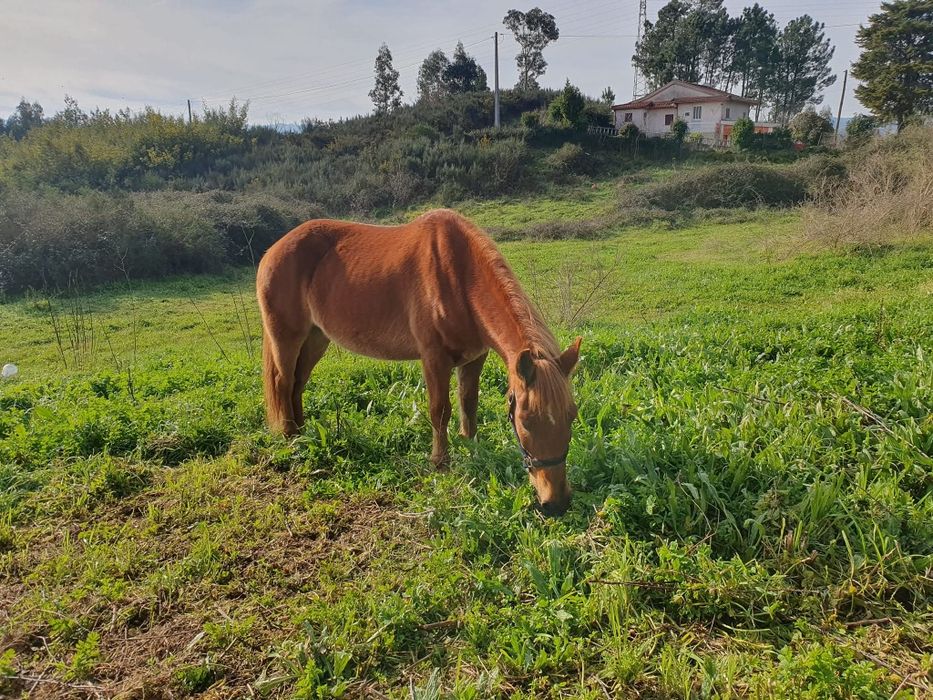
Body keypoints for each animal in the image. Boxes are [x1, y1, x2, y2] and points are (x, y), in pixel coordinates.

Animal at [256, 209, 581, 516]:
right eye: (525, 421)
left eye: (571, 415)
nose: (556, 502)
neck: (458, 274)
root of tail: (272, 251)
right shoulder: (434, 358)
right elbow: (440, 410)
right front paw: (441, 462)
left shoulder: (474, 358)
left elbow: (469, 404)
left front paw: (471, 449)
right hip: (287, 337)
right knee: (283, 382)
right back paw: (290, 438)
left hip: (316, 338)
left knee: (298, 384)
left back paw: (302, 431)